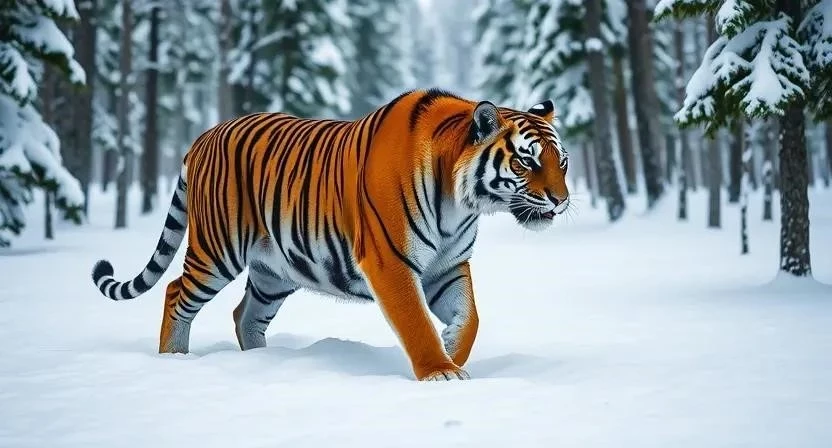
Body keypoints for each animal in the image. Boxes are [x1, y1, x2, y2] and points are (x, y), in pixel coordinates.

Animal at [90, 89, 570, 381]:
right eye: (527, 161)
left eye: (561, 162)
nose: (562, 200)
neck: (460, 205)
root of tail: (203, 137)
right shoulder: (392, 264)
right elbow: (415, 322)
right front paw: (440, 370)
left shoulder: (448, 267)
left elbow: (471, 317)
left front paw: (453, 347)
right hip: (216, 251)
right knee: (175, 292)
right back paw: (174, 359)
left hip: (274, 271)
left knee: (245, 314)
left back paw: (263, 362)